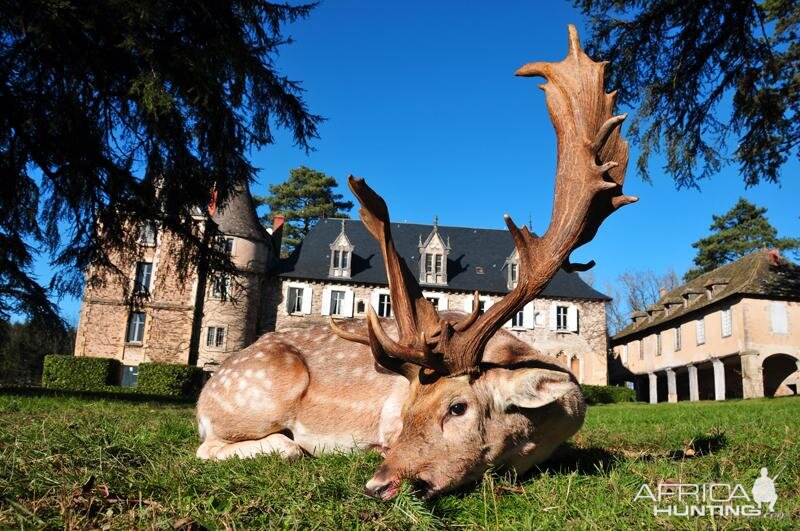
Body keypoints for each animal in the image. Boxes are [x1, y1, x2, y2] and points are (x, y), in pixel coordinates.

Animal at [197, 25, 636, 500]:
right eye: (407, 410)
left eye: (458, 407)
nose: (378, 484)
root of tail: (205, 393)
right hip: (256, 394)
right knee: (227, 446)